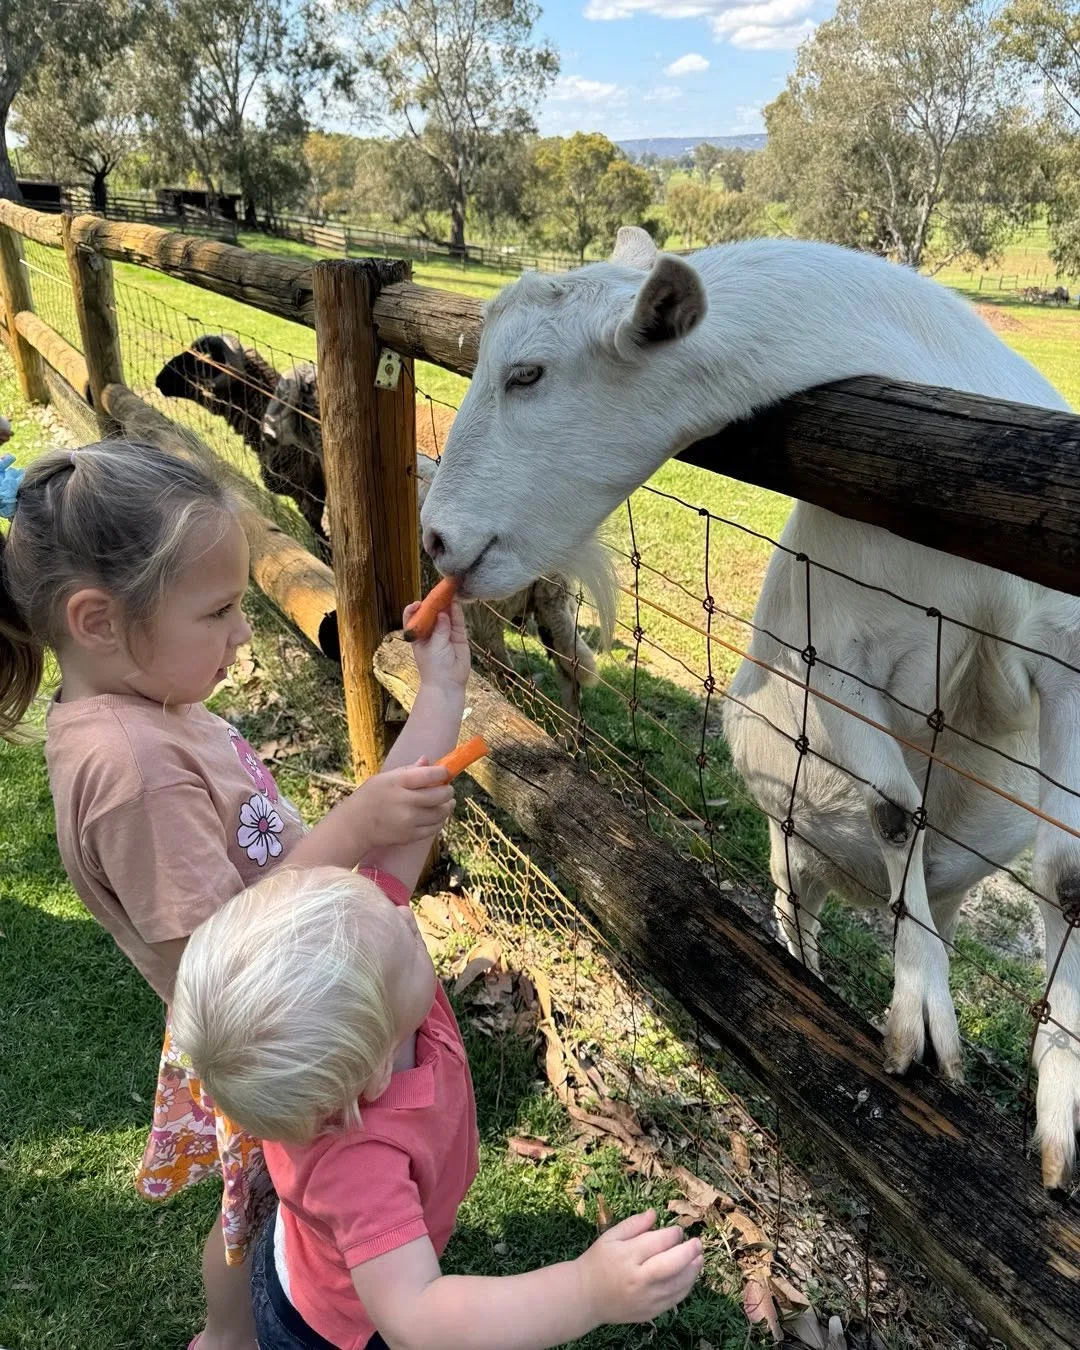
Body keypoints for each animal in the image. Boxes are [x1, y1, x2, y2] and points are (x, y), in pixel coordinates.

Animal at [420, 225, 1080, 1190]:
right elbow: (894, 806)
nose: (436, 539)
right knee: (801, 904)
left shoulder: (1064, 653)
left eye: (528, 374)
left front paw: (1057, 1104)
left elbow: (1066, 877)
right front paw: (918, 1019)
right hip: (788, 835)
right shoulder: (834, 657)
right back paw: (815, 974)